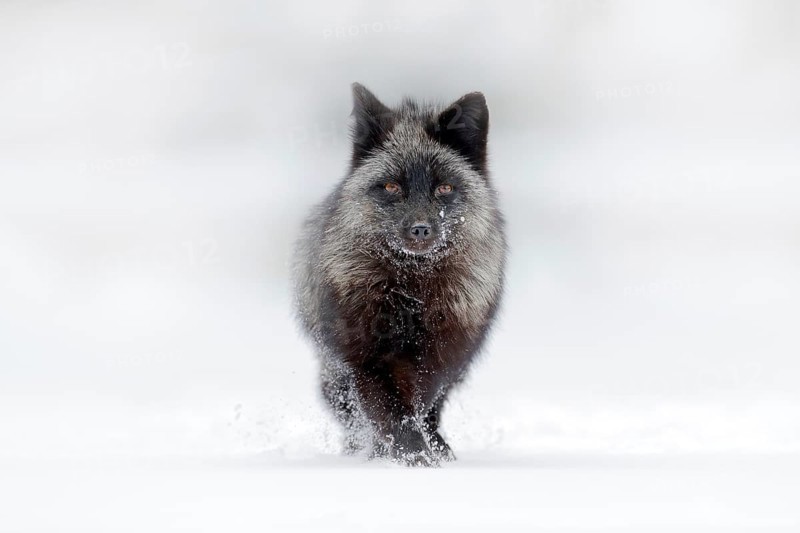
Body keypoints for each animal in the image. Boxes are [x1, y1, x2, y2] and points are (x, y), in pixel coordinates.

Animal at [292, 83, 506, 466]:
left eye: (444, 188)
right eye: (391, 187)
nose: (420, 229)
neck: (413, 290)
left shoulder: (442, 357)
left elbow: (420, 407)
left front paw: (425, 453)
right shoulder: (365, 359)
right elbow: (393, 412)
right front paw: (411, 456)